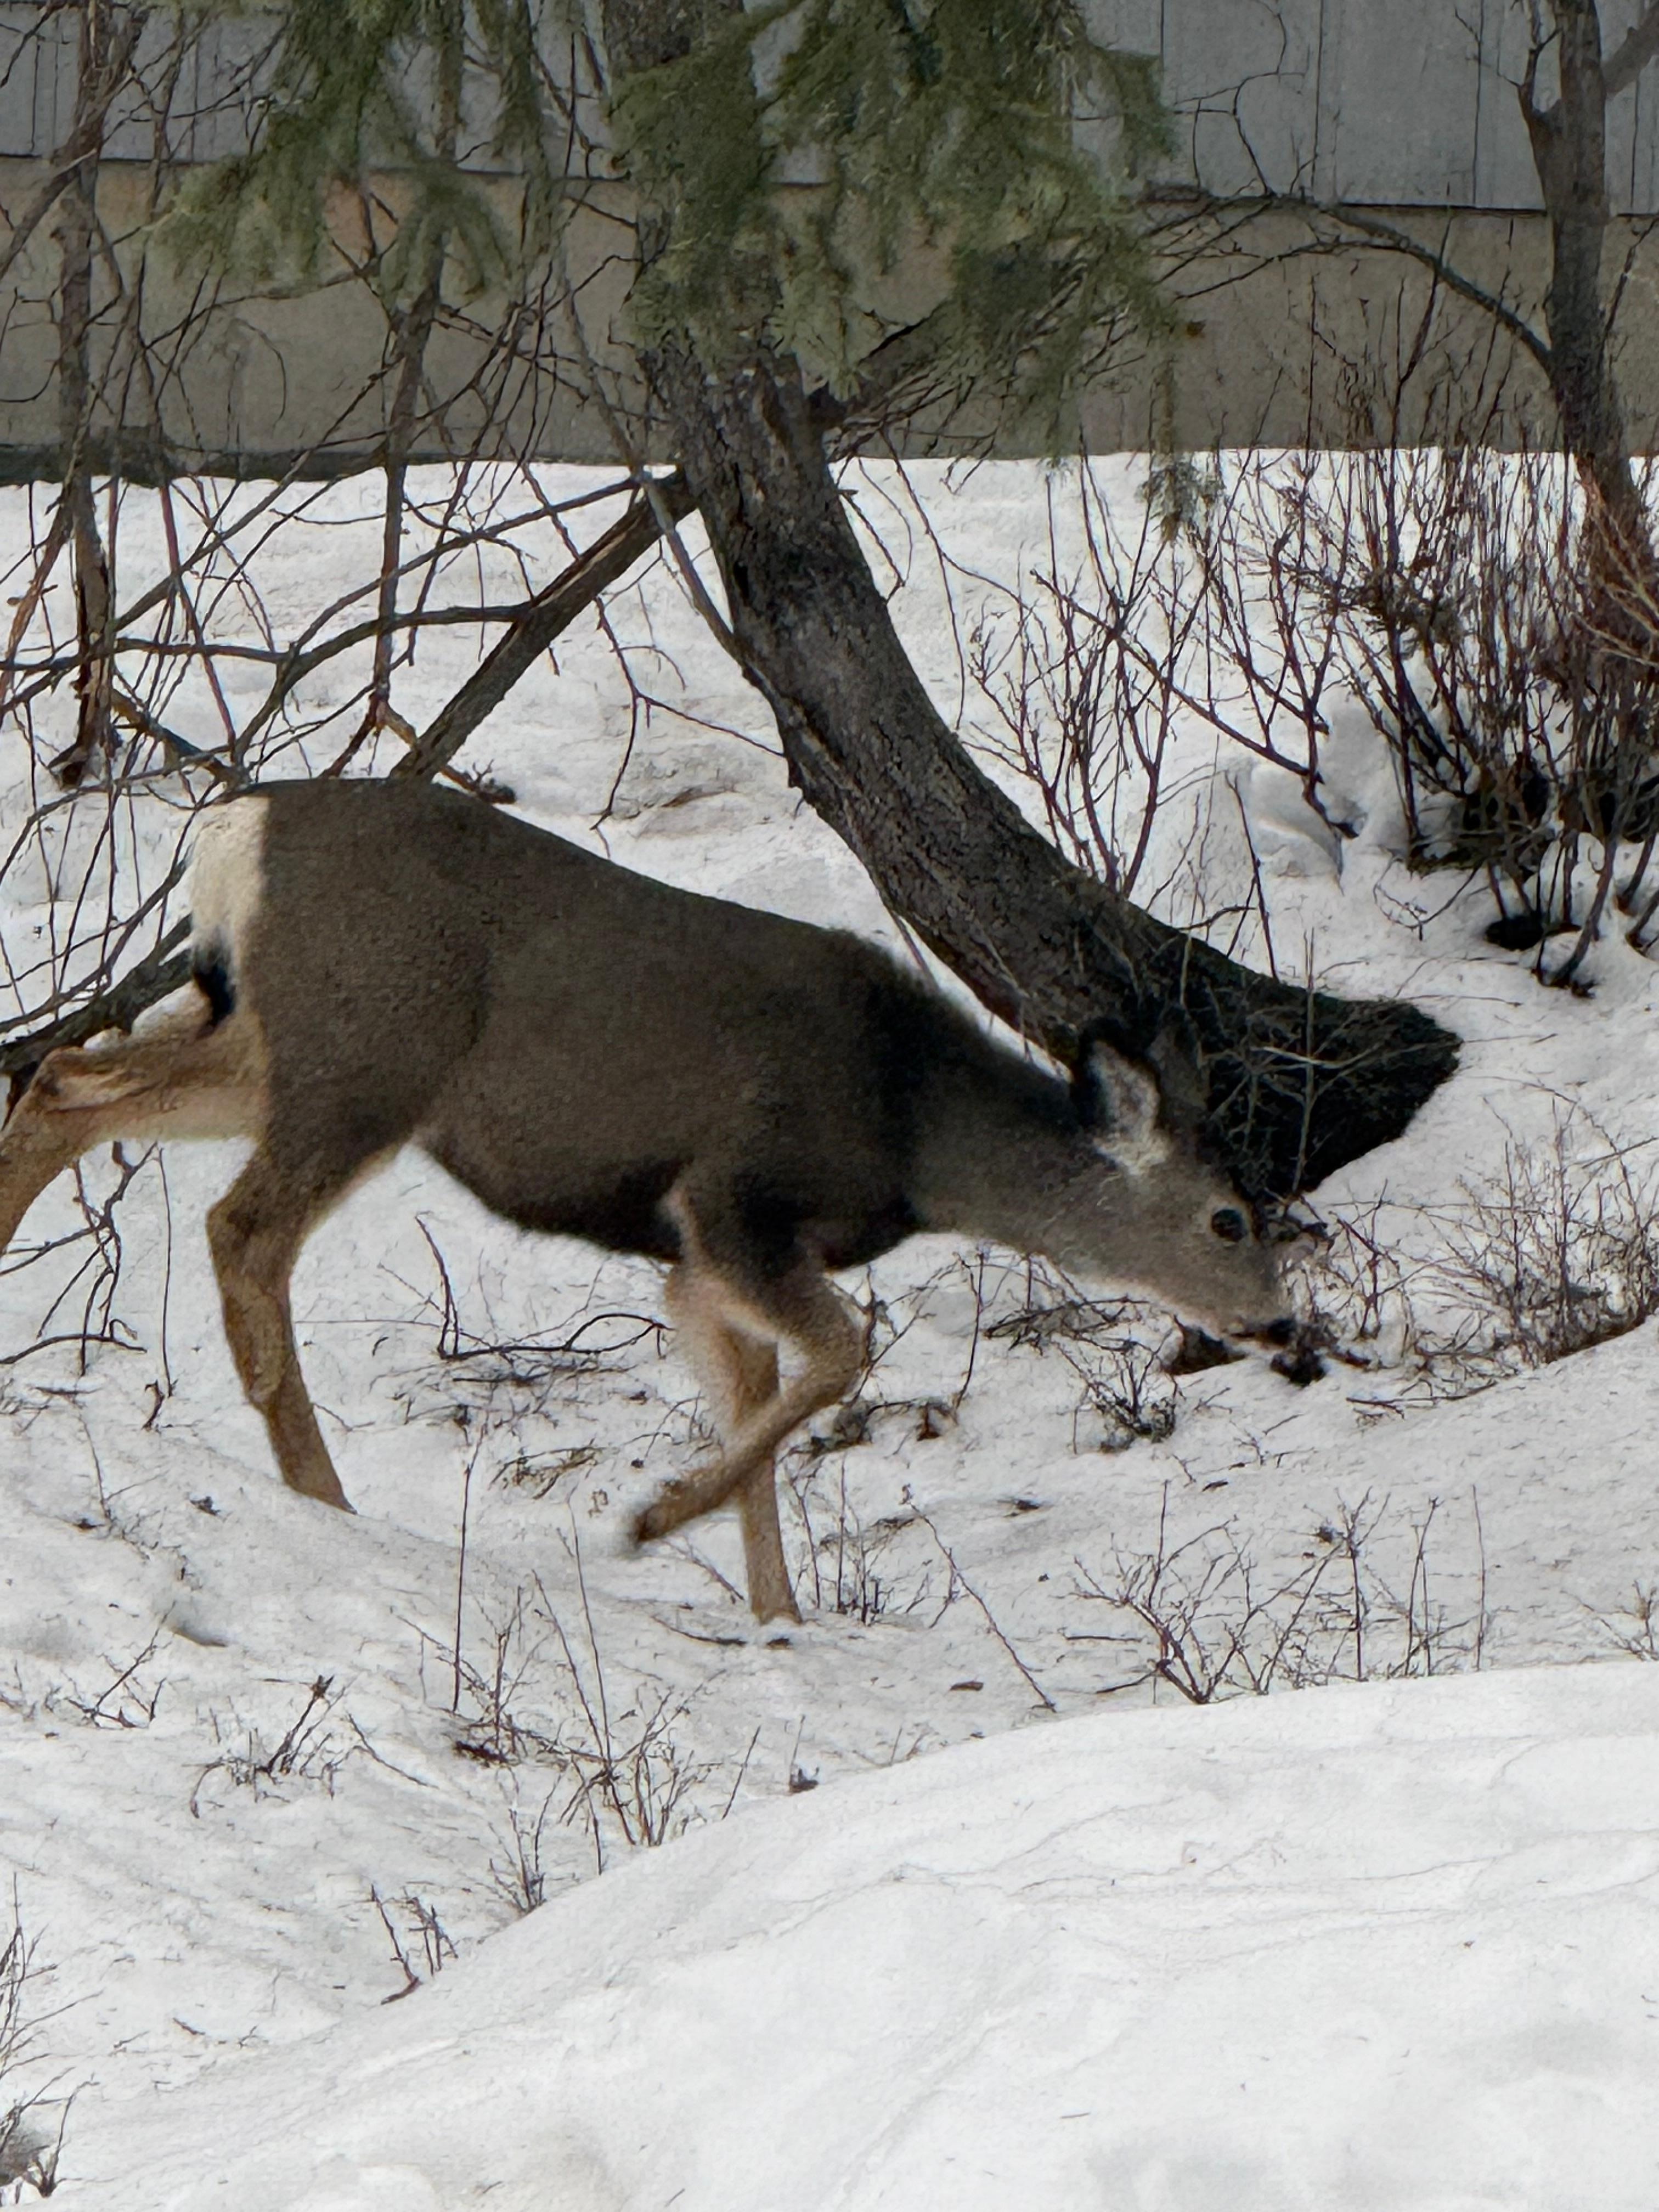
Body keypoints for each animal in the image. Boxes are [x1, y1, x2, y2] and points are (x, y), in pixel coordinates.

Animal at [0, 779, 1297, 1623]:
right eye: (1229, 1218)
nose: (1284, 1325)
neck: (913, 1121)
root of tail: (232, 828)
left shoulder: (696, 1261)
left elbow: (762, 1407)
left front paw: (776, 1619)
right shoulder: (730, 1195)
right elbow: (842, 1356)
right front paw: (651, 1520)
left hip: (273, 1041)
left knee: (65, 1079)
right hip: (367, 1052)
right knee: (241, 1227)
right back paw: (319, 1488)